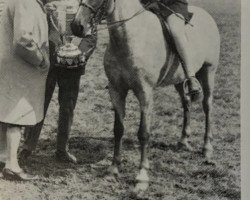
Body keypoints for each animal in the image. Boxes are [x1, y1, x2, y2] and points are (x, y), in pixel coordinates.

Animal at [71, 0, 220, 195]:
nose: (77, 26)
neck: (130, 38)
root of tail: (208, 16)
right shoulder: (116, 90)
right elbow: (118, 129)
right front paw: (113, 169)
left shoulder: (145, 92)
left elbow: (144, 133)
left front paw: (141, 177)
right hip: (179, 80)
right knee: (186, 104)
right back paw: (183, 141)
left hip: (209, 72)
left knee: (207, 107)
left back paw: (207, 148)